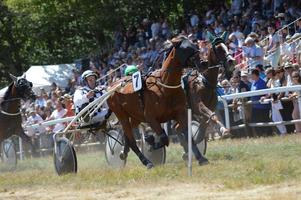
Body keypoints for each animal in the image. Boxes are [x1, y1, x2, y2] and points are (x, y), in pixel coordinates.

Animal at [106, 36, 205, 169]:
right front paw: (151, 141)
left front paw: (201, 158)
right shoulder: (151, 118)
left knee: (127, 135)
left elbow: (188, 134)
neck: (165, 87)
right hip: (121, 115)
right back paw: (147, 162)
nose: (203, 62)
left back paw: (123, 152)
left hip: (135, 117)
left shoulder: (181, 113)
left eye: (195, 45)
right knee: (132, 140)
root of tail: (111, 87)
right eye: (187, 48)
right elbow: (163, 138)